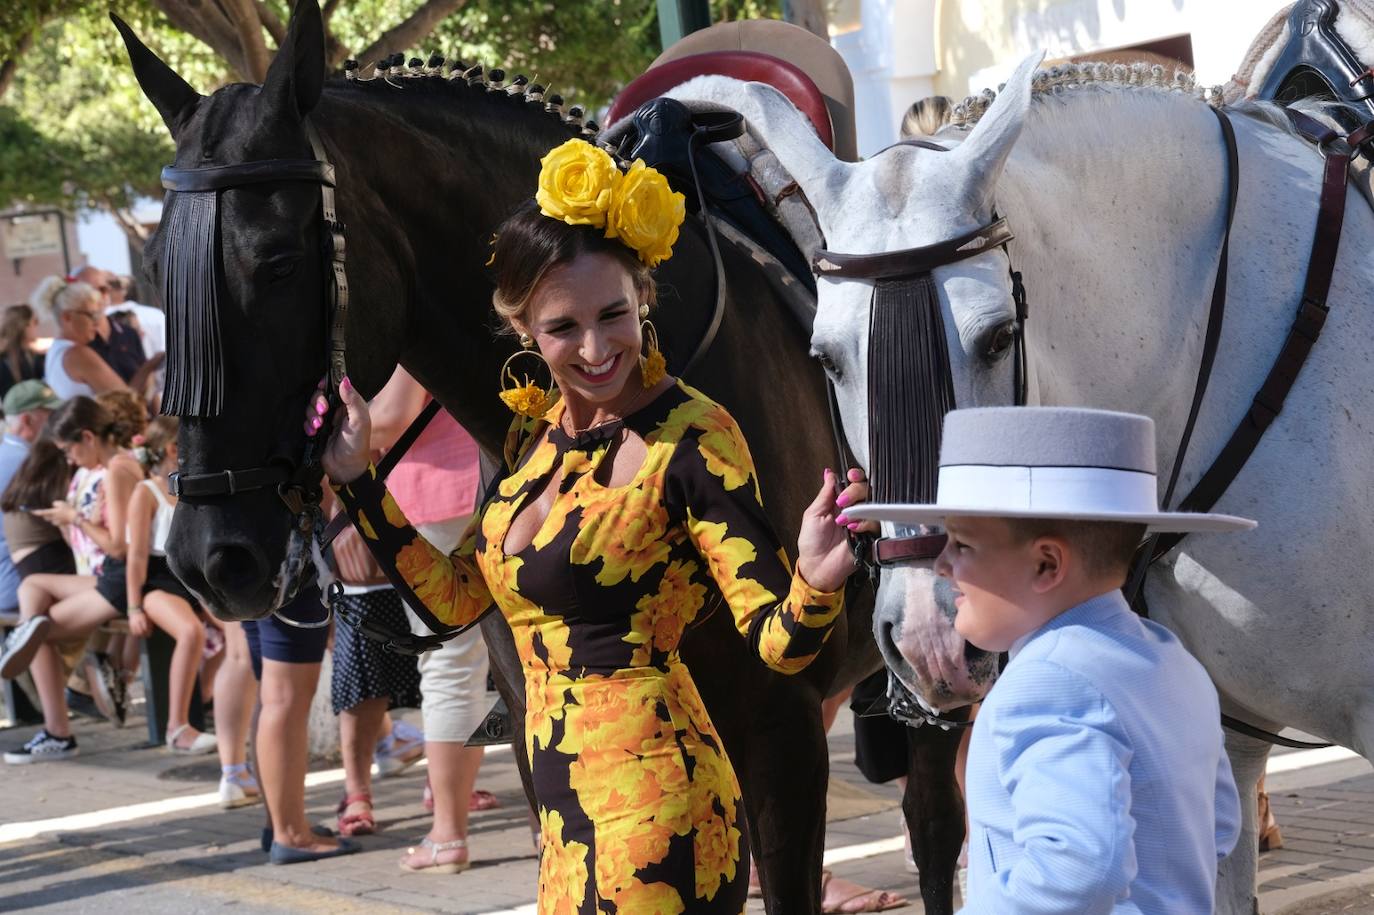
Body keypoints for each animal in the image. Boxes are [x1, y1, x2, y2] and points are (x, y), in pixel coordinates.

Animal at [120, 3, 967, 906]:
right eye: (159, 267)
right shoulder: (546, 760)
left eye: (278, 261)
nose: (210, 556)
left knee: (934, 825)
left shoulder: (782, 739)